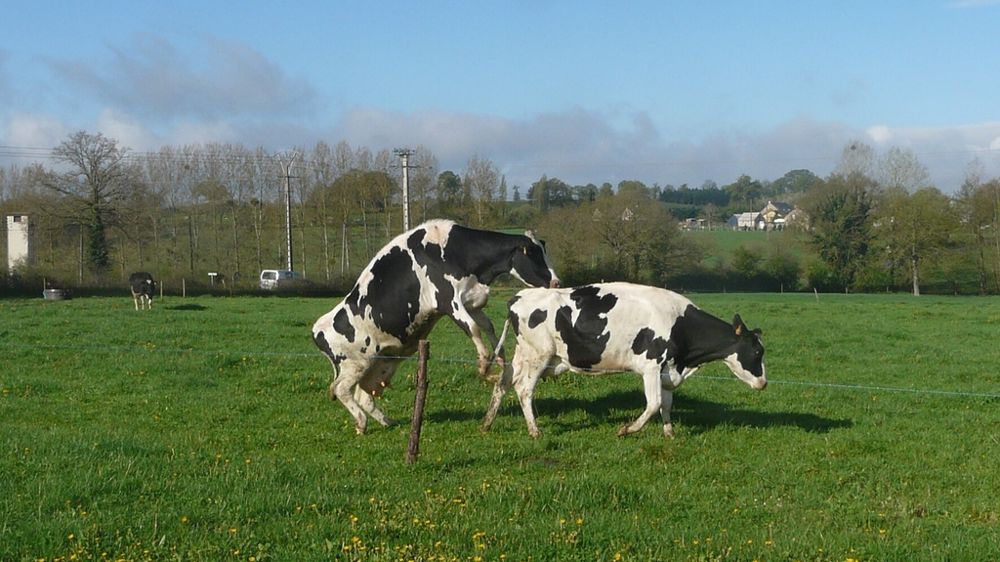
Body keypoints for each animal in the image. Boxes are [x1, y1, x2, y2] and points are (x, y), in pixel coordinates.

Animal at [312, 219, 560, 434]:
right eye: (535, 255)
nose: (556, 282)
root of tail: (317, 330)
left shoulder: (471, 301)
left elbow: (488, 327)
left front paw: (498, 362)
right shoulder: (448, 299)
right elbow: (473, 328)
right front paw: (484, 367)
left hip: (377, 363)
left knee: (363, 395)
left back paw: (387, 422)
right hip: (355, 363)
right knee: (340, 389)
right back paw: (362, 423)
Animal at [481, 282, 767, 439]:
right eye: (756, 352)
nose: (763, 383)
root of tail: (519, 296)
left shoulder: (667, 371)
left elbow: (666, 404)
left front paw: (669, 433)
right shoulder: (651, 367)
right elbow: (653, 404)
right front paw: (626, 430)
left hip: (523, 355)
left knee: (503, 383)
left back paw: (487, 423)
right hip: (538, 356)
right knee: (524, 389)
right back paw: (534, 431)